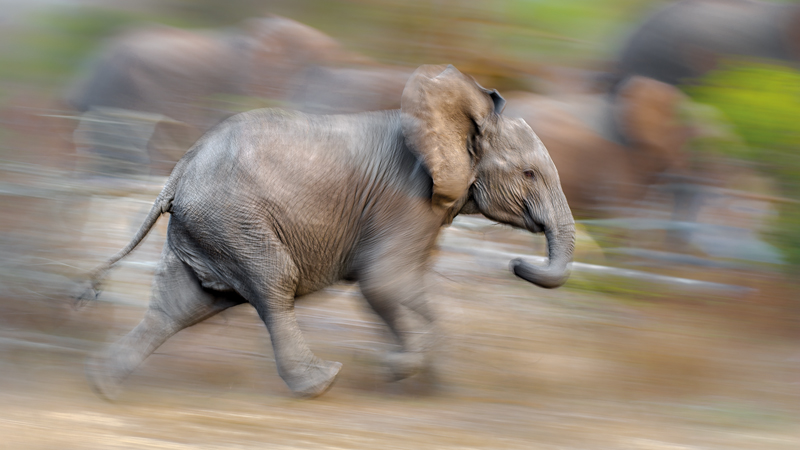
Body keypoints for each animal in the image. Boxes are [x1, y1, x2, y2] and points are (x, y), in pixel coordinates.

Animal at [78, 65, 576, 399]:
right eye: (529, 174)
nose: (516, 262)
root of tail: (178, 170)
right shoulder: (404, 200)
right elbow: (383, 282)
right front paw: (399, 369)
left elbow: (410, 286)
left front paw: (429, 382)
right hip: (232, 220)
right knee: (273, 282)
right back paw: (322, 381)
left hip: (207, 226)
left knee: (183, 304)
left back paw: (105, 385)